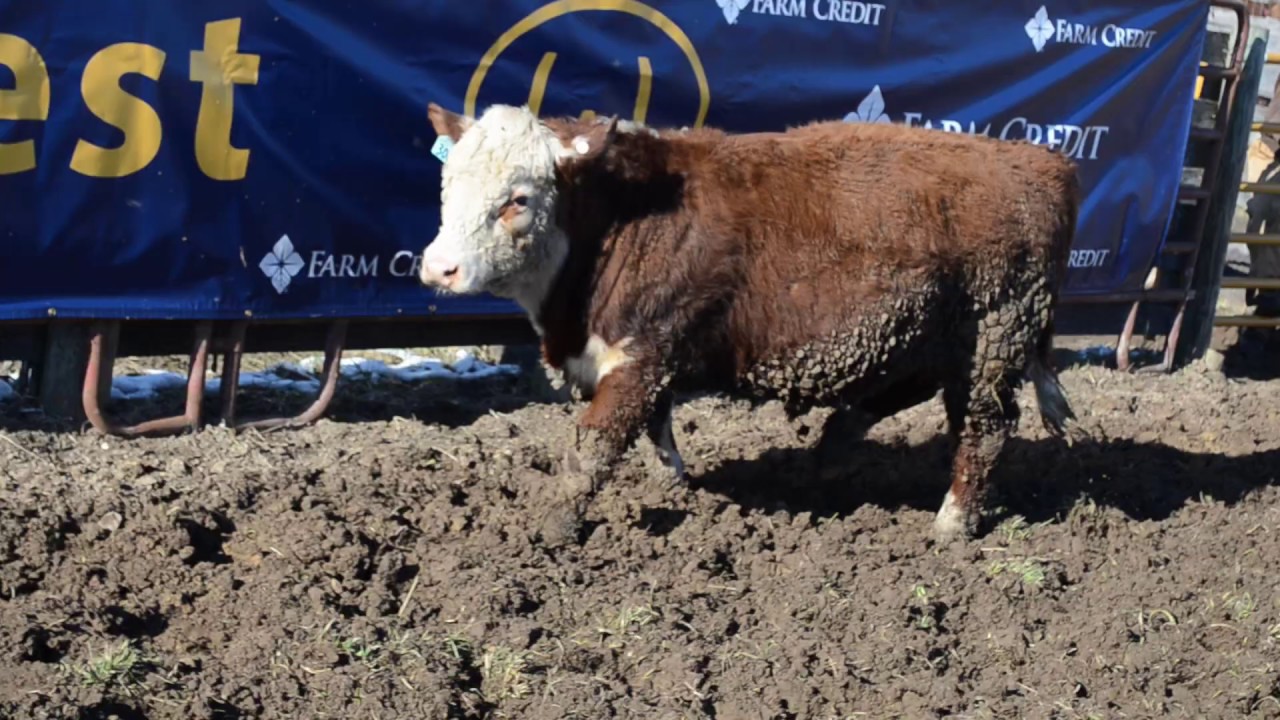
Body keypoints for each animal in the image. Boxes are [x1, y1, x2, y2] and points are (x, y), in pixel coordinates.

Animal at [420, 101, 1080, 547]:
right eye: (448, 184)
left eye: (519, 198)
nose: (437, 267)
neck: (615, 220)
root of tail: (1043, 162)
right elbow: (657, 426)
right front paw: (673, 483)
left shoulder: (641, 355)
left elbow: (594, 450)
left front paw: (553, 527)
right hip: (926, 339)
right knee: (894, 398)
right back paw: (831, 451)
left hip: (993, 339)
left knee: (984, 429)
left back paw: (951, 524)